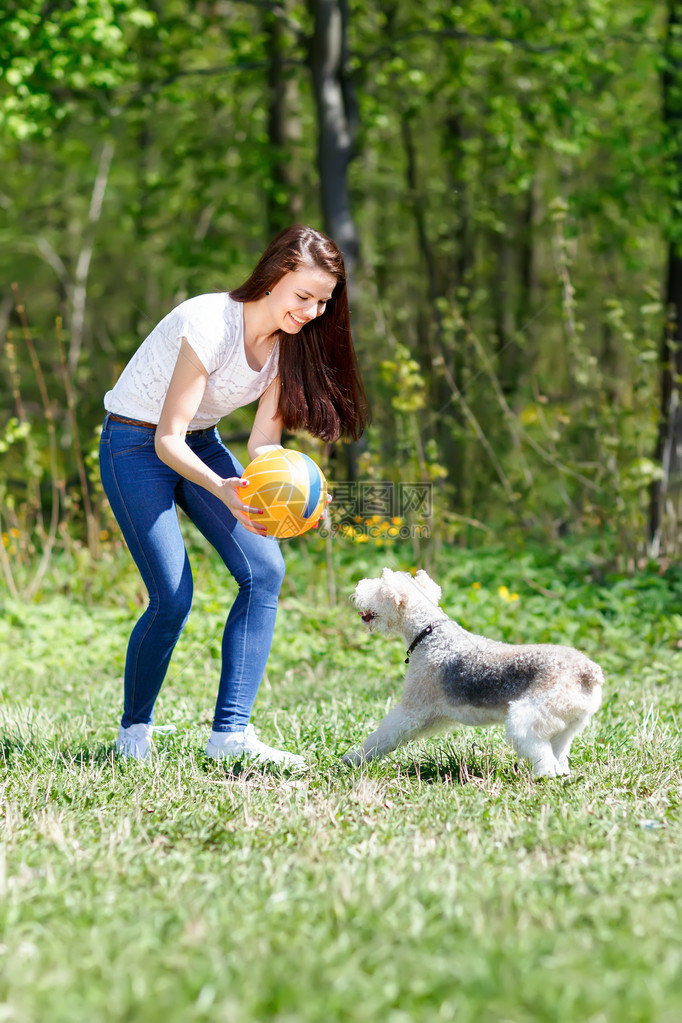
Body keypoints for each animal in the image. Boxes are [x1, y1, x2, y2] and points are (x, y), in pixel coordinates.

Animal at [343, 568, 605, 773]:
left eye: (379, 586)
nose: (355, 591)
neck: (430, 634)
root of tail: (588, 671)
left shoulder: (412, 709)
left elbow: (383, 736)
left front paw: (353, 758)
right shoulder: (434, 716)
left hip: (527, 717)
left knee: (541, 755)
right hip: (567, 726)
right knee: (558, 755)